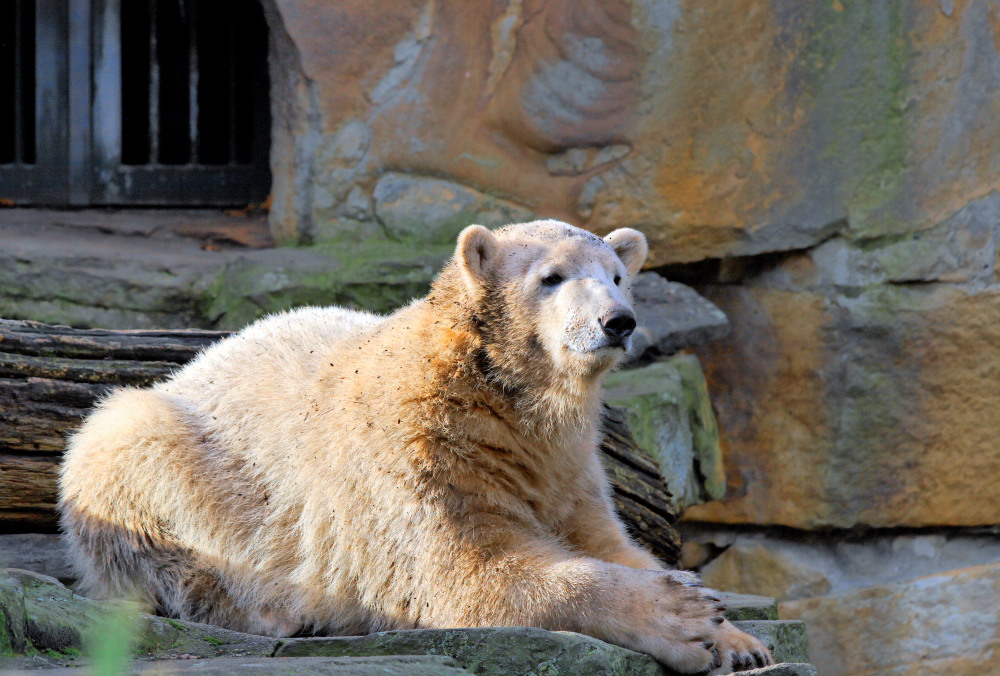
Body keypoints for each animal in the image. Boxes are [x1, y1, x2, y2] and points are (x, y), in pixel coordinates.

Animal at [58, 220, 768, 672]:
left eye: (619, 275)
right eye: (552, 277)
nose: (616, 321)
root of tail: (193, 364)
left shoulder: (565, 467)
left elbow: (609, 542)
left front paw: (740, 640)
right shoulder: (421, 454)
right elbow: (465, 574)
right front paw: (683, 617)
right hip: (168, 449)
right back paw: (277, 609)